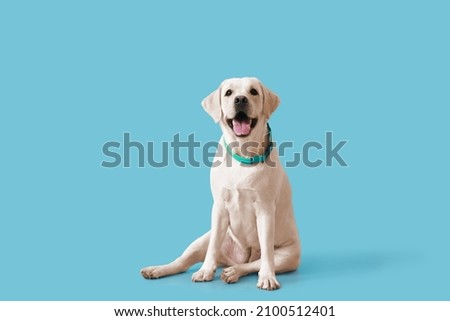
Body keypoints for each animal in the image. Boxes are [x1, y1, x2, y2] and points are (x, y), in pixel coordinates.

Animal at [142, 78, 300, 290]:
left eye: (253, 91)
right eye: (228, 93)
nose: (240, 99)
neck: (243, 155)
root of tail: (238, 258)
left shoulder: (265, 210)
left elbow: (267, 252)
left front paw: (267, 277)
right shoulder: (219, 207)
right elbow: (213, 246)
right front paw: (205, 271)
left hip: (288, 255)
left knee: (253, 264)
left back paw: (234, 272)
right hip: (201, 240)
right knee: (183, 262)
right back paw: (157, 269)